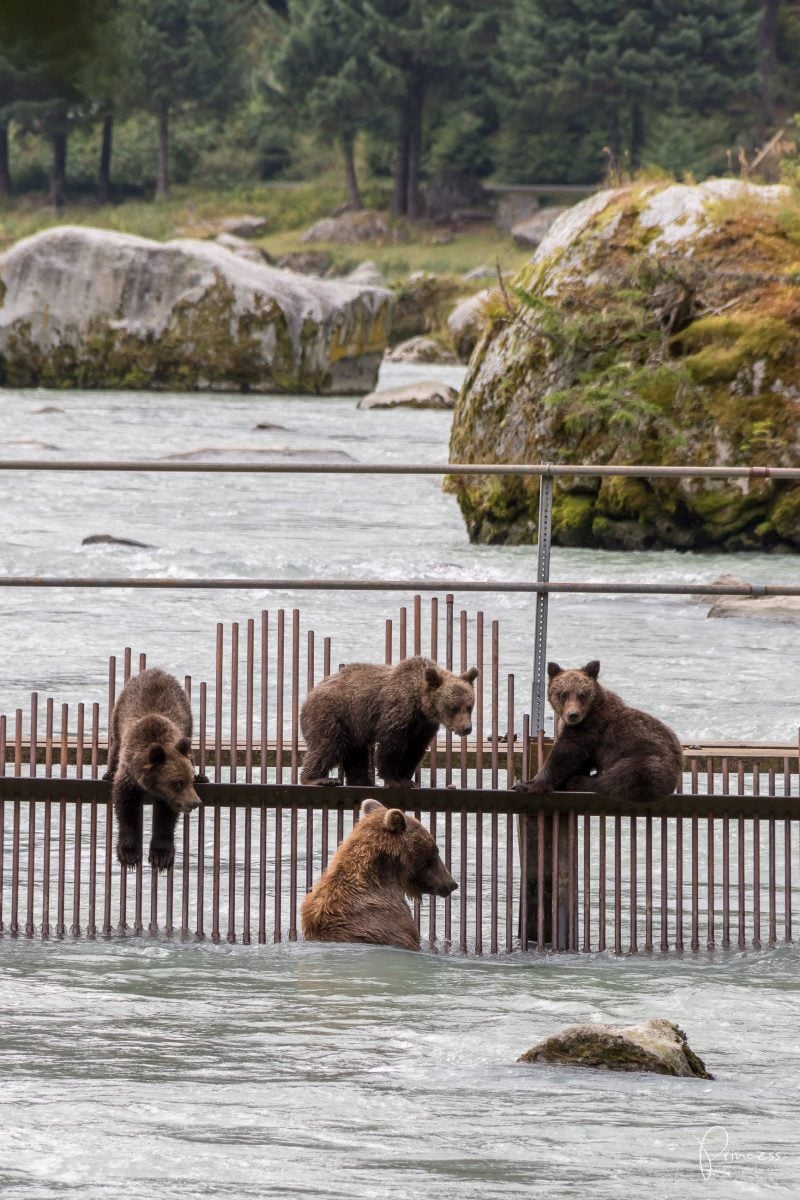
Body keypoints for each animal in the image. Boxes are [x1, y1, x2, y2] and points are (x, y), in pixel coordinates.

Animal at [106, 667, 205, 873]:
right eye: (178, 782)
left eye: (189, 780)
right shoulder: (128, 775)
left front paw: (161, 856)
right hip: (120, 710)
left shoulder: (170, 797)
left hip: (187, 713)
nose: (195, 802)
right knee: (115, 741)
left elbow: (166, 817)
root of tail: (156, 670)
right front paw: (129, 854)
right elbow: (126, 808)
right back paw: (108, 772)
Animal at [298, 657, 474, 787]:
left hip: (353, 726)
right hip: (332, 714)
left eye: (469, 706)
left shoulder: (424, 727)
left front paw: (406, 777)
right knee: (327, 745)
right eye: (453, 707)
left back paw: (362, 781)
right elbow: (390, 745)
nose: (466, 728)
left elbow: (415, 750)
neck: (420, 703)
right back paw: (317, 779)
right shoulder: (396, 712)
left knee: (356, 754)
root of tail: (310, 694)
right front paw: (394, 779)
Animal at [520, 662, 681, 801]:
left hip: (647, 758)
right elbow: (579, 760)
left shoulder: (590, 730)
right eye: (563, 694)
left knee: (623, 776)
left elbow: (564, 755)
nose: (573, 714)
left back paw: (580, 782)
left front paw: (528, 784)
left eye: (582, 694)